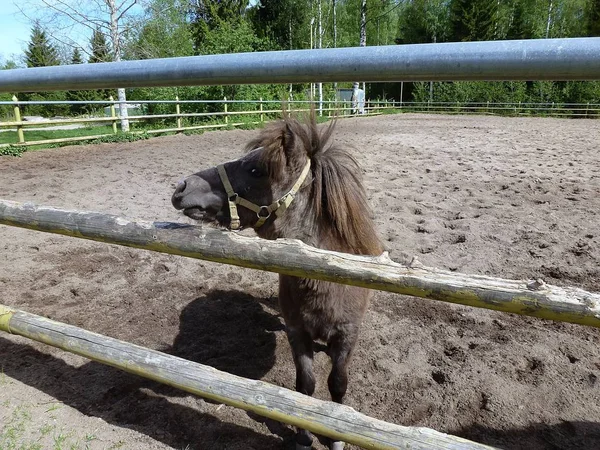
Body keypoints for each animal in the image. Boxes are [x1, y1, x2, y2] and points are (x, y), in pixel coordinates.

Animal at [171, 110, 382, 448]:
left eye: (255, 169)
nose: (181, 187)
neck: (325, 281)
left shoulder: (347, 336)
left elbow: (337, 385)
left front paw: (335, 438)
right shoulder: (298, 333)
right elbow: (305, 386)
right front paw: (304, 436)